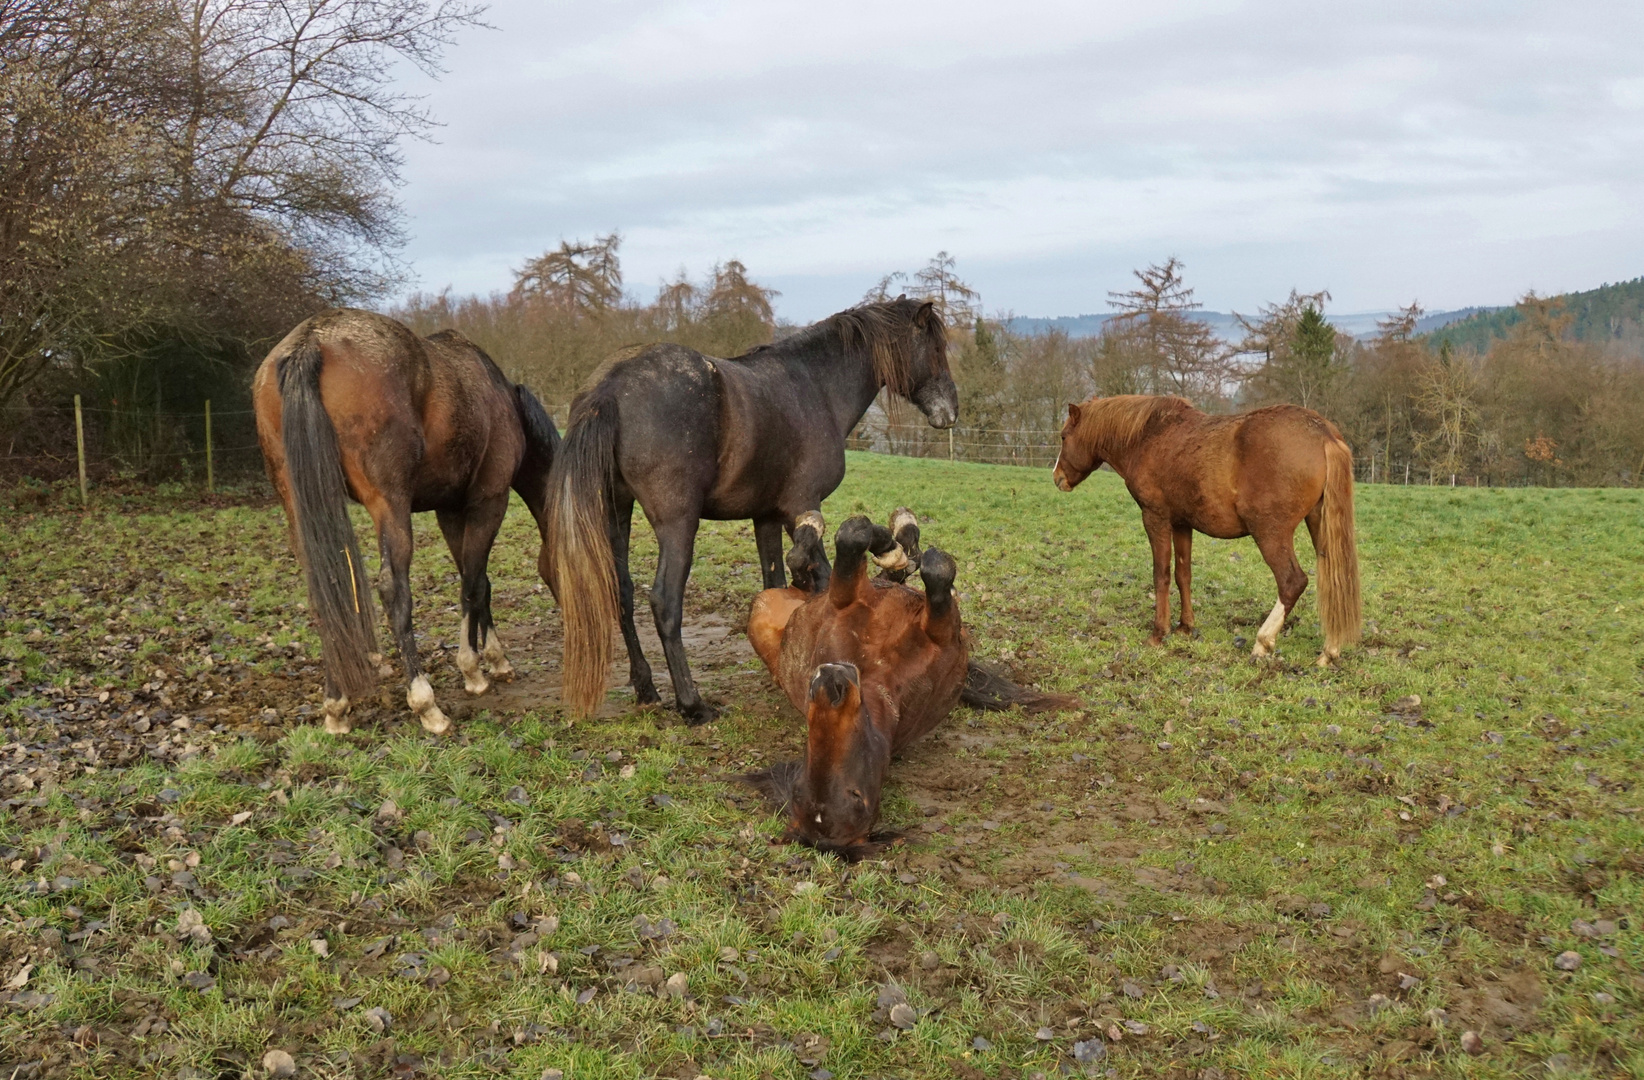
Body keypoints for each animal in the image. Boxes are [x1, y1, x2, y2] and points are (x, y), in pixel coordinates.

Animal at [253, 307, 562, 736]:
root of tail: (311, 342)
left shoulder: (450, 511)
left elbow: (477, 582)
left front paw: (494, 660)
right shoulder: (489, 502)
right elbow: (474, 585)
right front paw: (474, 671)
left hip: (298, 507)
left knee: (325, 595)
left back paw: (337, 705)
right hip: (389, 505)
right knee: (393, 590)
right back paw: (425, 703)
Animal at [542, 292, 953, 723]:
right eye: (935, 348)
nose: (950, 411)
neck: (816, 388)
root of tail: (610, 385)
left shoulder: (767, 518)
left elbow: (776, 584)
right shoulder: (800, 508)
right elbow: (827, 579)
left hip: (616, 512)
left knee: (620, 592)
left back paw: (647, 689)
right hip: (678, 525)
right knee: (665, 603)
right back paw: (692, 705)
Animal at [1052, 396, 1361, 664]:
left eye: (1064, 437)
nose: (1057, 478)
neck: (1148, 437)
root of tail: (1323, 434)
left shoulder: (1155, 518)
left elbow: (1161, 575)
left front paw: (1158, 633)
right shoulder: (1181, 524)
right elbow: (1183, 574)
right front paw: (1185, 627)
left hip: (1270, 533)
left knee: (1292, 582)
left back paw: (1263, 642)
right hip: (1319, 527)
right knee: (1335, 579)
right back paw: (1329, 652)